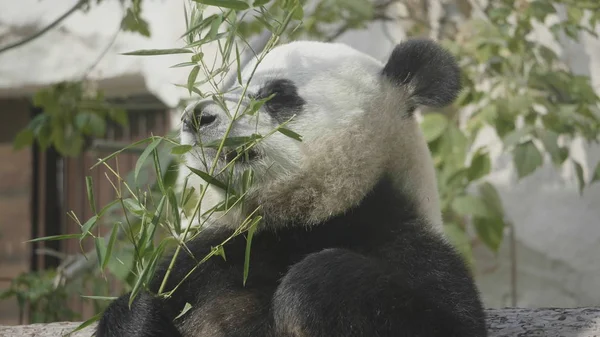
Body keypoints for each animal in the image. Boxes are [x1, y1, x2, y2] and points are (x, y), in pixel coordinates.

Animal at [97, 38, 488, 336]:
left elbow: (442, 320)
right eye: (228, 88)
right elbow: (141, 305)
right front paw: (137, 316)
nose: (197, 116)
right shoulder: (209, 259)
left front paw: (315, 287)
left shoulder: (406, 245)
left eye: (275, 95)